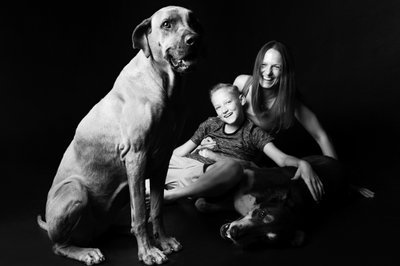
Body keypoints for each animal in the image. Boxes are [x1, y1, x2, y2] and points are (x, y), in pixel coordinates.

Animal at [38, 6, 203, 266]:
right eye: (167, 24)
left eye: (193, 21)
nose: (194, 40)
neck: (164, 84)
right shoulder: (136, 157)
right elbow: (140, 212)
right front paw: (148, 252)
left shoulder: (162, 159)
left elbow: (156, 209)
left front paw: (163, 240)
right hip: (75, 191)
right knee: (59, 245)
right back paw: (85, 251)